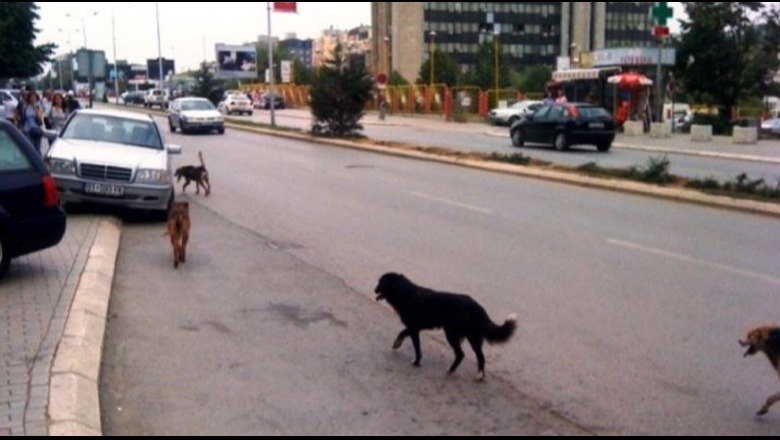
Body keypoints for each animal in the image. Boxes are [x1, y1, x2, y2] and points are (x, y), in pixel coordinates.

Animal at [374, 272, 516, 382]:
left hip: (453, 334)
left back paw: (467, 373)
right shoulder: (415, 328)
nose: (374, 289)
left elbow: (407, 338)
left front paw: (411, 358)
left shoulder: (413, 327)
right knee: (477, 355)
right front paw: (414, 359)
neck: (405, 293)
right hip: (471, 336)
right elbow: (409, 339)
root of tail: (477, 306)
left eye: (381, 282)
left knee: (463, 354)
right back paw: (471, 373)